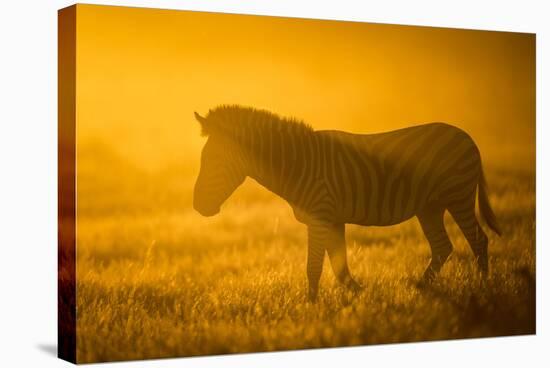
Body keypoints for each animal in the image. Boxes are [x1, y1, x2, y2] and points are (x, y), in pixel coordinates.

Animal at [194, 104, 504, 302]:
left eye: (212, 160)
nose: (197, 206)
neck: (298, 164)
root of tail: (467, 137)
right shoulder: (333, 219)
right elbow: (339, 268)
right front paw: (361, 296)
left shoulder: (320, 215)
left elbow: (315, 267)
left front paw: (311, 307)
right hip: (430, 206)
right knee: (442, 247)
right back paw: (420, 289)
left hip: (458, 196)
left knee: (478, 241)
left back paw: (484, 289)